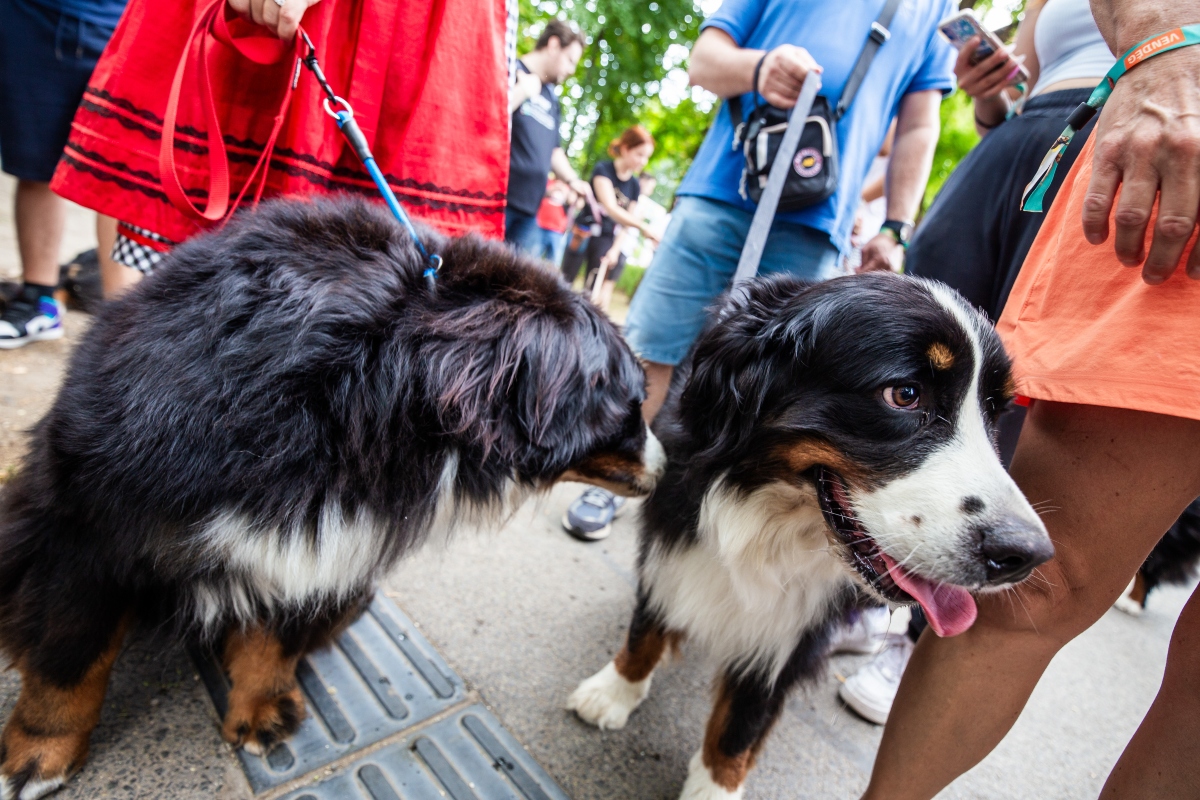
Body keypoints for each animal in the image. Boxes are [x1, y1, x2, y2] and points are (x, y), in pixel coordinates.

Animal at [0, 195, 667, 800]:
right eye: (632, 407)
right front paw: (39, 757)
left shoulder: (322, 539)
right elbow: (69, 653)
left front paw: (262, 711)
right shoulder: (88, 518)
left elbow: (276, 631)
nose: (665, 464)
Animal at [568, 272, 1051, 796]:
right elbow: (649, 622)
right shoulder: (672, 534)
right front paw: (614, 691)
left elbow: (741, 722)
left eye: (994, 412)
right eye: (905, 394)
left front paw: (715, 786)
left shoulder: (796, 626)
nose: (1027, 553)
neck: (767, 510)